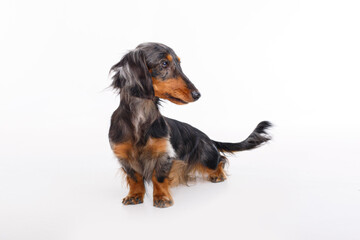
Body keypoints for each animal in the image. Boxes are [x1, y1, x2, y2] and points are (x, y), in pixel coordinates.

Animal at [108, 42, 272, 207]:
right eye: (164, 63)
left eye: (179, 63)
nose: (197, 94)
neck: (141, 117)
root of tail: (208, 138)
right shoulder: (123, 155)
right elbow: (134, 177)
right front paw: (134, 195)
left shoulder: (164, 154)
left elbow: (158, 177)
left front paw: (162, 197)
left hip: (207, 157)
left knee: (220, 160)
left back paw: (218, 174)